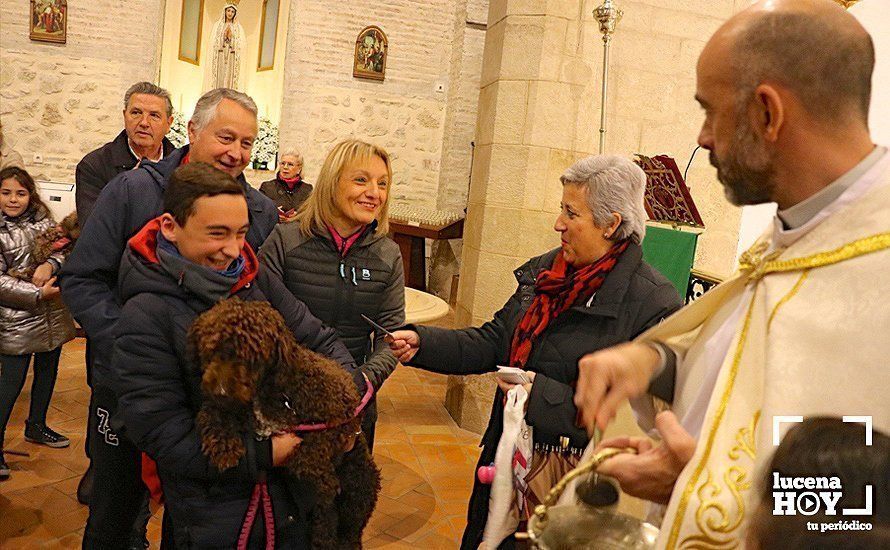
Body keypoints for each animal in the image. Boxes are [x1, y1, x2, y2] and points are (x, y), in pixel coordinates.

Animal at [189, 300, 380, 548]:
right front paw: (223, 445)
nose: (220, 390)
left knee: (350, 532)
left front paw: (324, 479)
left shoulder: (340, 416)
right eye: (211, 349)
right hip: (330, 513)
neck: (271, 389)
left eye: (252, 356)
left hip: (357, 495)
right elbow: (211, 412)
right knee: (326, 527)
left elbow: (309, 452)